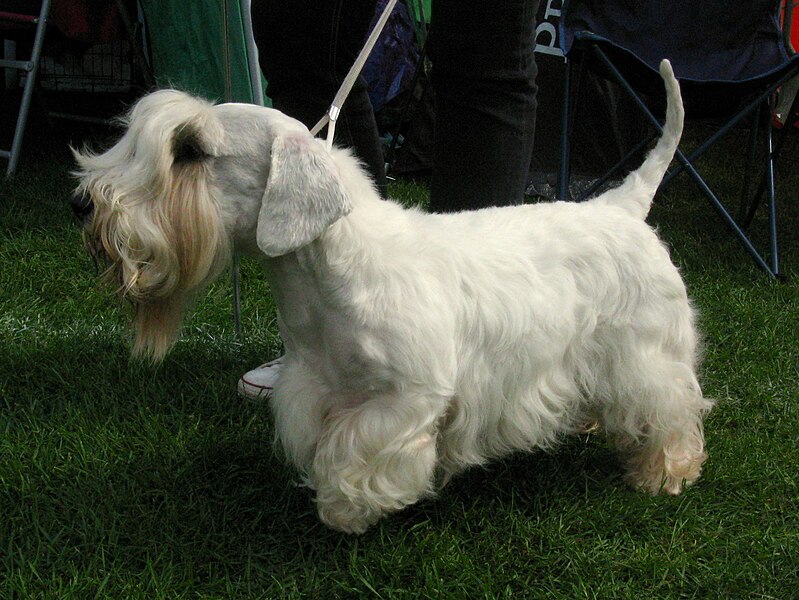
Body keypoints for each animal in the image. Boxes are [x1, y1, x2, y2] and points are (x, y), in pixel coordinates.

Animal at [73, 58, 712, 532]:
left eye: (190, 150)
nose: (82, 205)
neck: (326, 276)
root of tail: (622, 205)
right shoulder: (313, 385)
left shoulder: (408, 397)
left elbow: (354, 454)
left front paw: (346, 509)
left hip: (648, 354)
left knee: (672, 408)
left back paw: (665, 473)